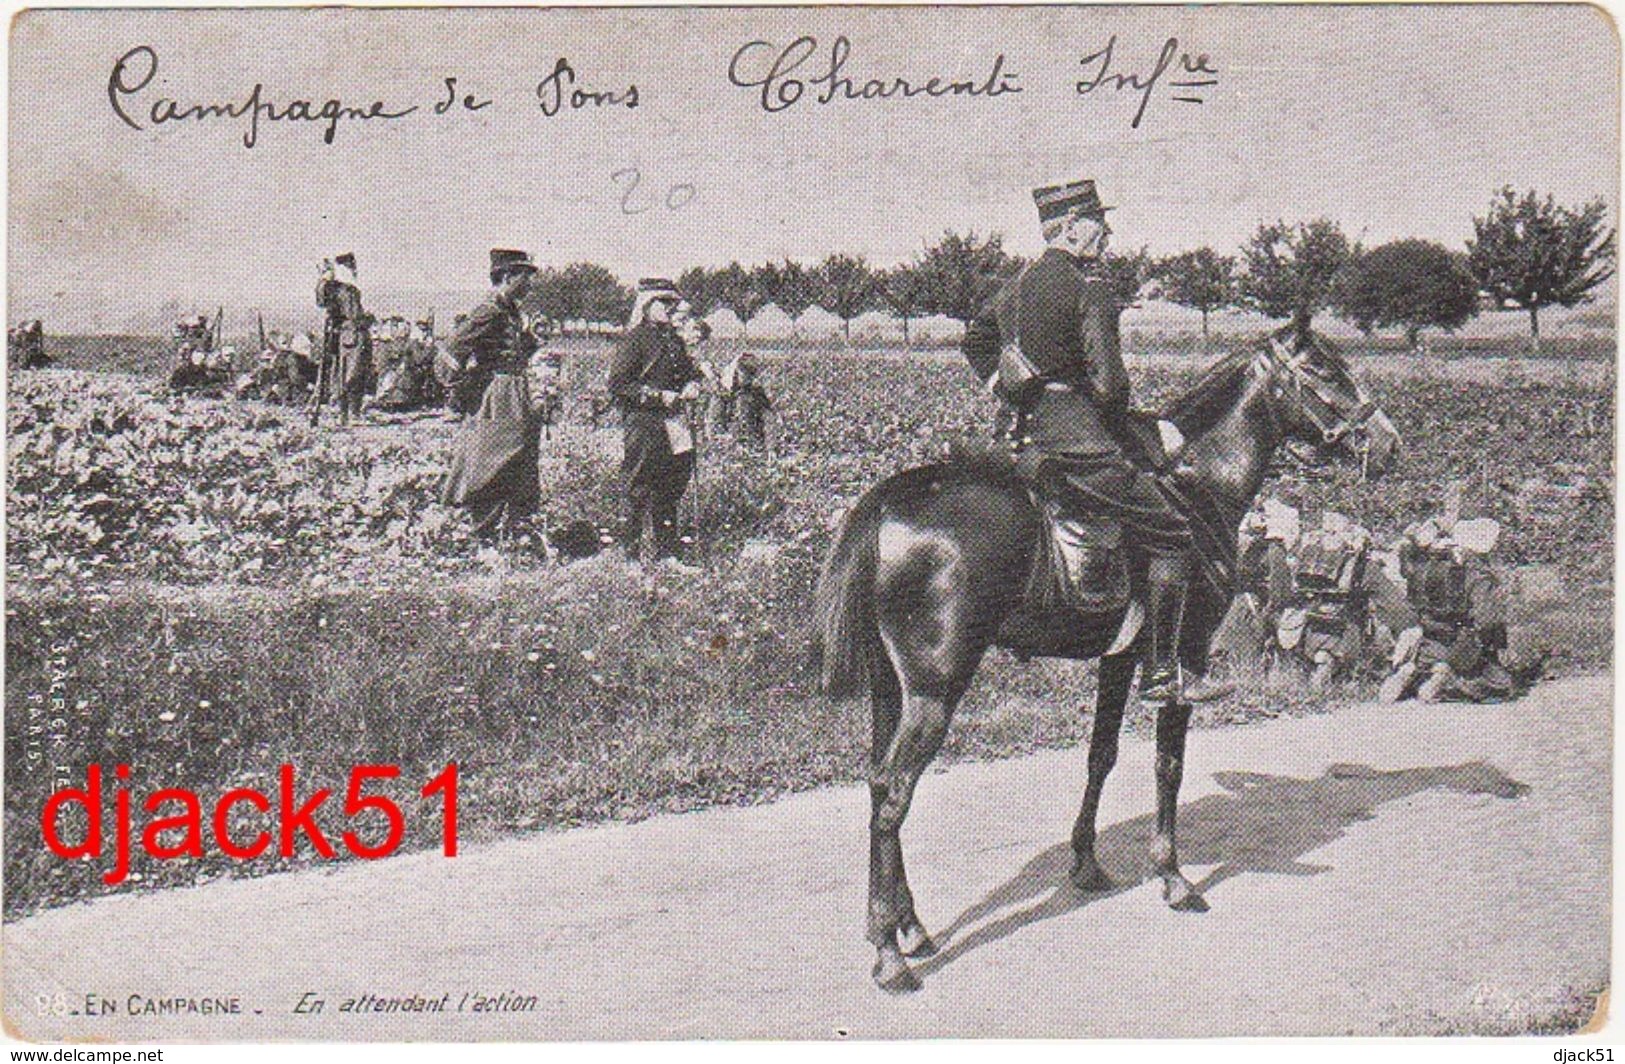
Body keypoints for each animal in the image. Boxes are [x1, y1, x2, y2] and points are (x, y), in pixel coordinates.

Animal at [819, 328, 1404, 994]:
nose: (1389, 440)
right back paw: (889, 953)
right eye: (1325, 370)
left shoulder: (1120, 659)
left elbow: (1101, 756)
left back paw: (908, 927)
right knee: (894, 793)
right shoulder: (1184, 654)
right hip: (934, 691)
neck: (1198, 480)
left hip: (891, 688)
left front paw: (1087, 862)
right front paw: (1172, 876)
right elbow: (1168, 764)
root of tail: (887, 501)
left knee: (876, 786)